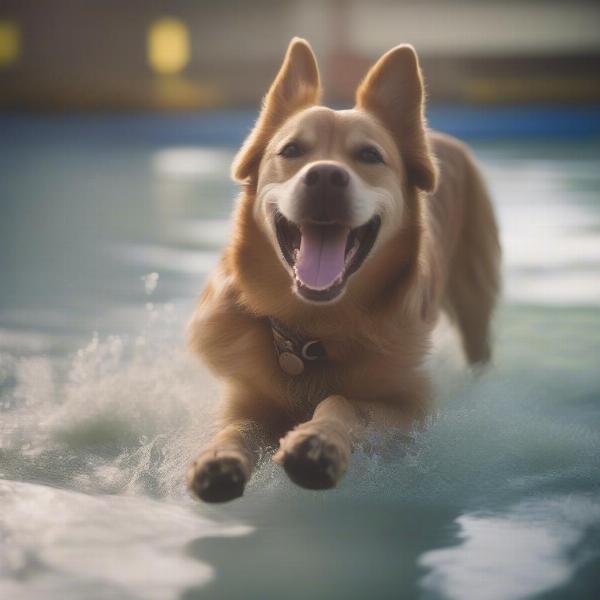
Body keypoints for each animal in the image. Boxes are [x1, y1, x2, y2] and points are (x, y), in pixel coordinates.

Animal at [186, 37, 502, 502]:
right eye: (292, 151)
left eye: (369, 155)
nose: (325, 177)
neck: (313, 331)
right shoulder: (241, 398)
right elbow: (236, 427)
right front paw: (218, 457)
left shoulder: (410, 413)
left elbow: (343, 403)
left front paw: (318, 442)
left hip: (475, 300)